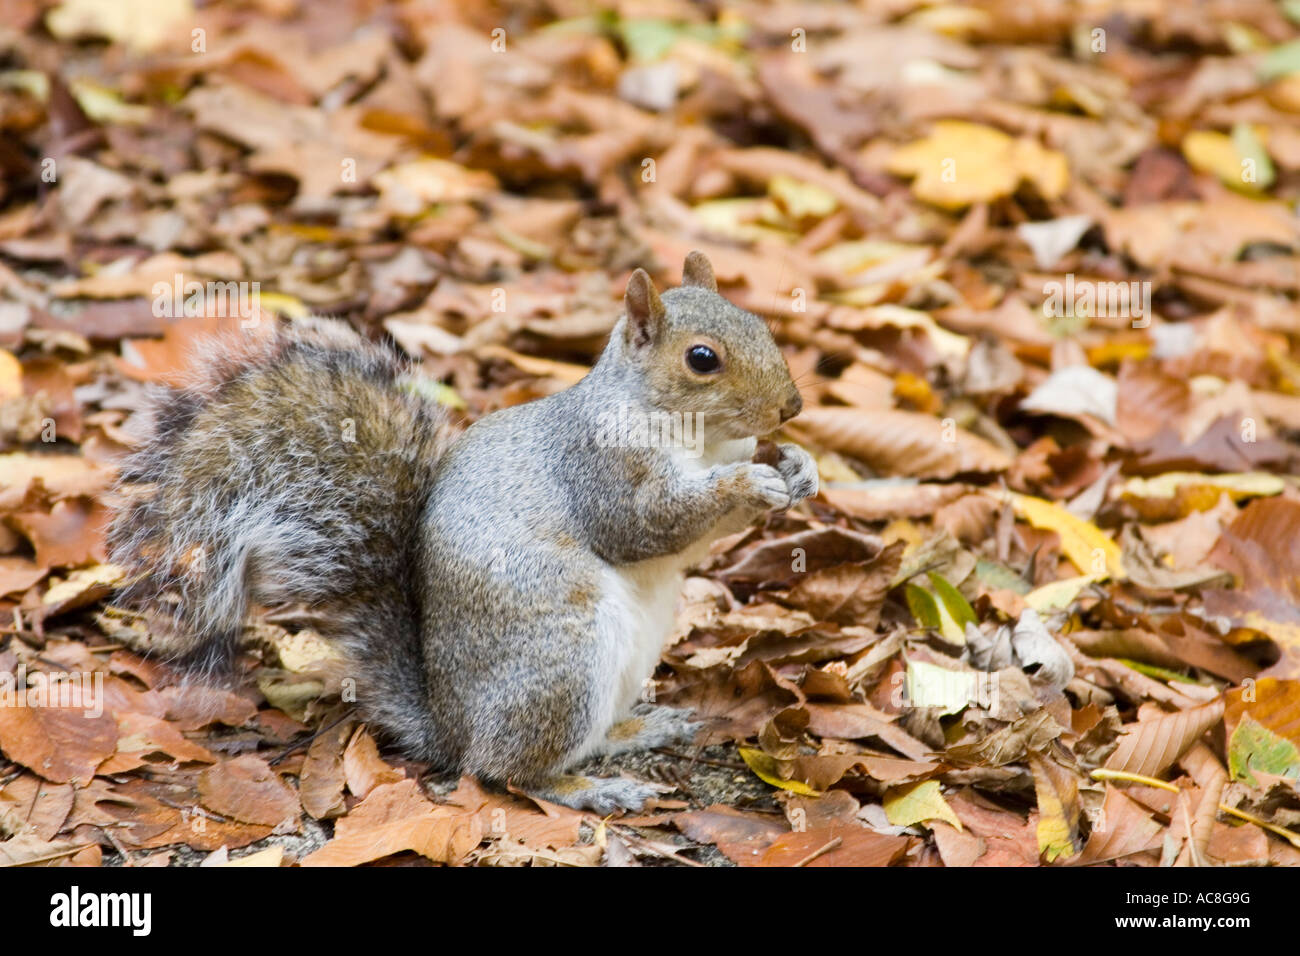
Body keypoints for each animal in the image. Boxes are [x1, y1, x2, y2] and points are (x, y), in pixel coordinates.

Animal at [114, 251, 821, 811]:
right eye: (702, 359)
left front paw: (798, 467)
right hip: (561, 661)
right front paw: (745, 484)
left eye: (761, 325)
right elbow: (643, 526)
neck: (699, 439)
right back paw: (590, 790)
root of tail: (450, 728)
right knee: (504, 770)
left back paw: (639, 731)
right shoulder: (600, 467)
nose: (792, 407)